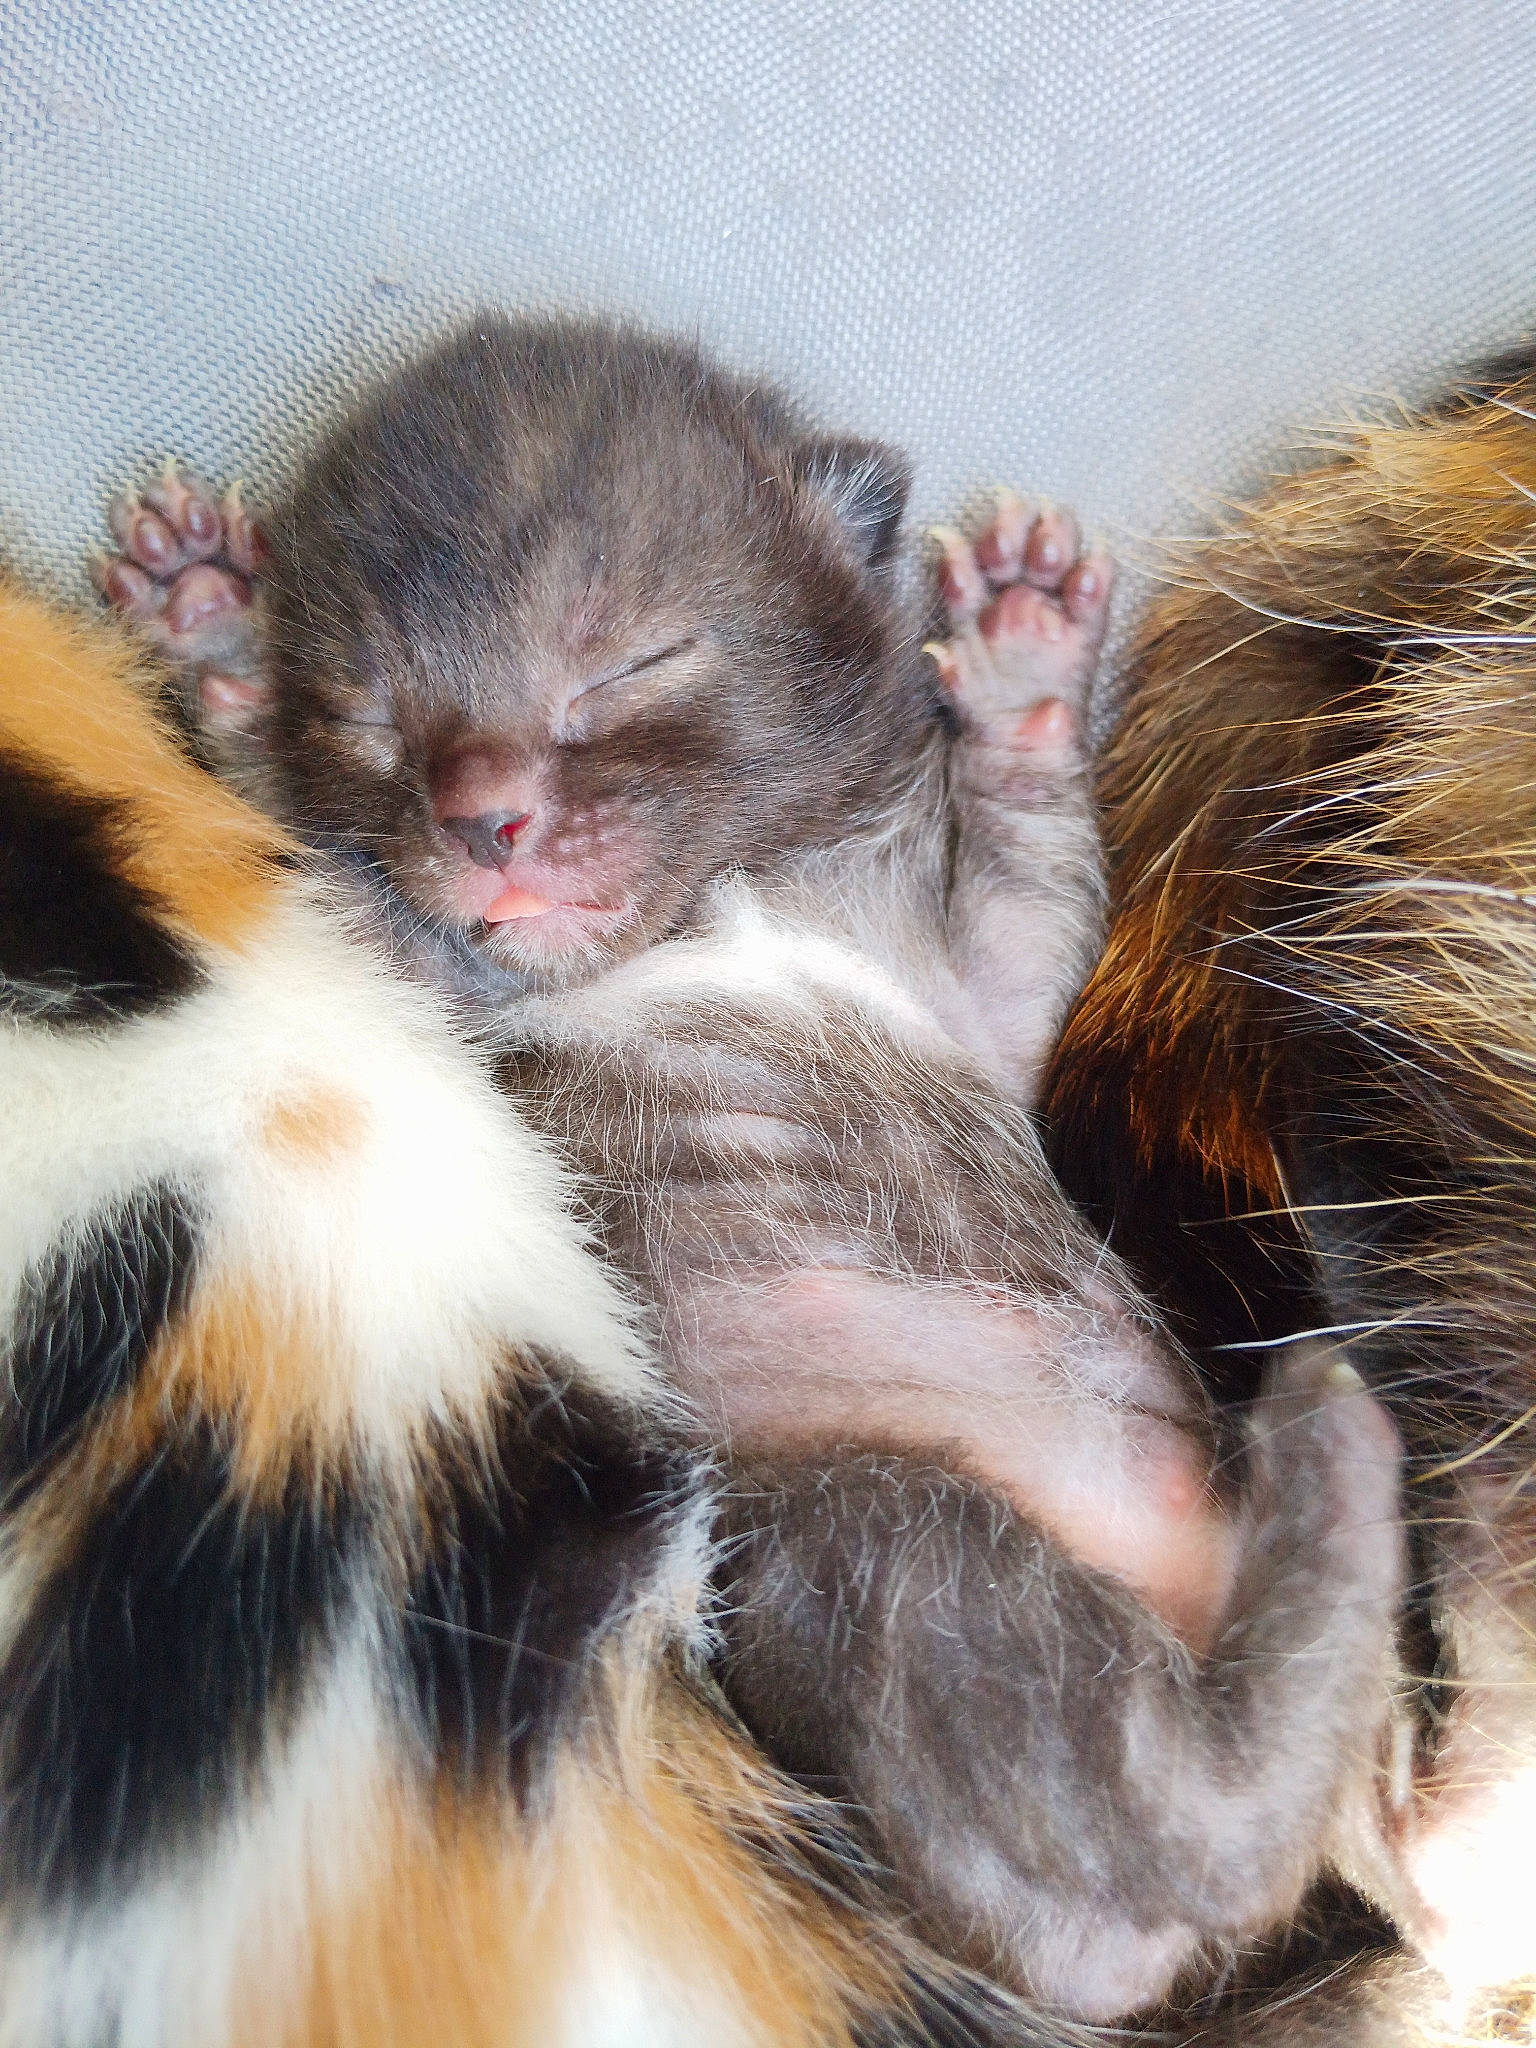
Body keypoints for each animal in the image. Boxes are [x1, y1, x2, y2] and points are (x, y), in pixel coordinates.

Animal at [94, 314, 1408, 2024]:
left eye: (630, 664)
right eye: (373, 713)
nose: (487, 815)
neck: (716, 908)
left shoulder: (960, 984)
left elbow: (1030, 910)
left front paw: (1023, 658)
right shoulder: (411, 972)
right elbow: (327, 864)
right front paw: (214, 638)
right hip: (861, 1553)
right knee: (1190, 1817)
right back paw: (1330, 1437)